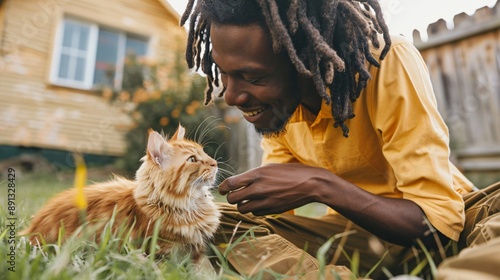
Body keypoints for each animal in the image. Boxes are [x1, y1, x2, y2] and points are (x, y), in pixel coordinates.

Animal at [21, 124, 221, 262]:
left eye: (204, 152)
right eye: (192, 159)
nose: (215, 163)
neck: (189, 204)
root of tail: (31, 229)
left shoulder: (199, 252)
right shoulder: (164, 250)